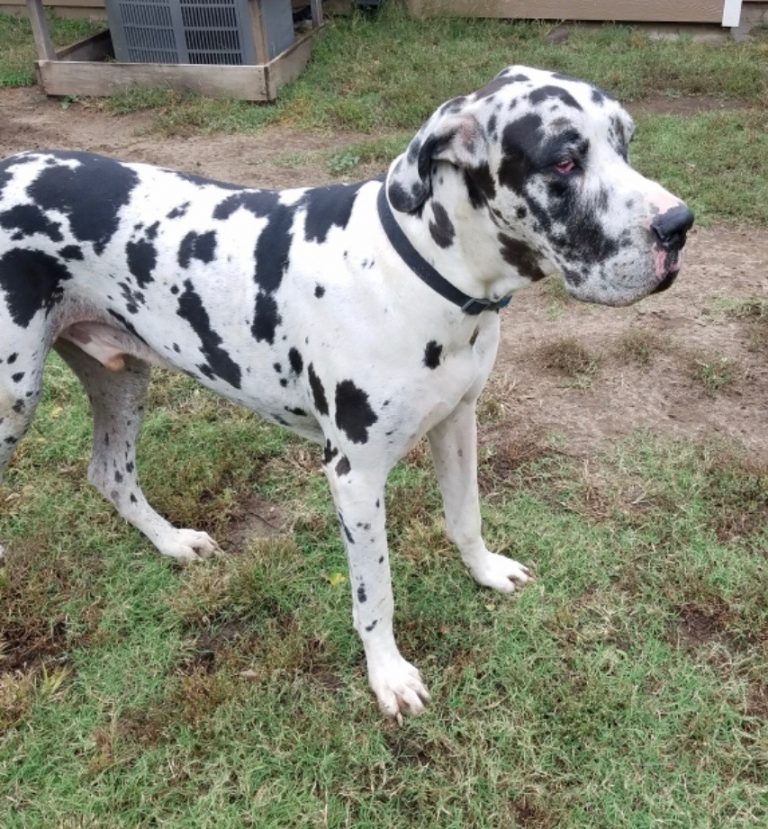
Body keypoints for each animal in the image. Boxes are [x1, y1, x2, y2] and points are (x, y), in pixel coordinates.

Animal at [0, 66, 692, 720]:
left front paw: (486, 571)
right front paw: (388, 675)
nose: (679, 225)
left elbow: (465, 517)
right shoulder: (354, 476)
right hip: (15, 400)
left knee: (110, 472)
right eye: (564, 162)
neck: (418, 272)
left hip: (120, 376)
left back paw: (172, 542)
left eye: (625, 143)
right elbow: (374, 591)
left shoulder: (458, 420)